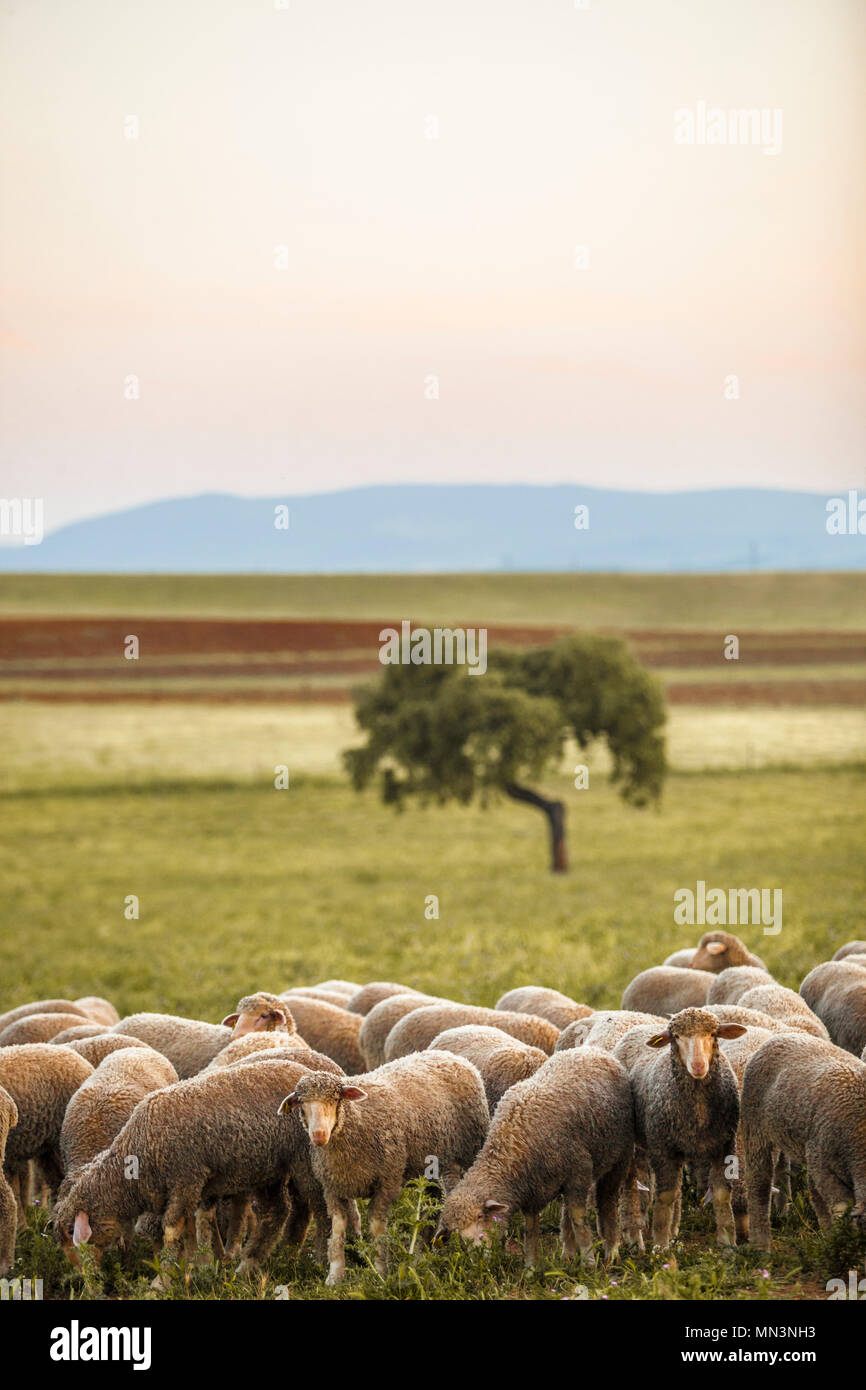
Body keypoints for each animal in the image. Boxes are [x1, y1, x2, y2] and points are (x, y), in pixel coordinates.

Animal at [279, 1052, 488, 1284]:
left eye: (335, 1099)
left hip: (469, 1150)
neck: (357, 1120)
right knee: (432, 1202)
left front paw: (380, 1271)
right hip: (429, 1167)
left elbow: (377, 1227)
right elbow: (338, 1229)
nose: (318, 1135)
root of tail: (450, 1055)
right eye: (302, 1104)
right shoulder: (332, 1188)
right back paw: (421, 1255)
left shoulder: (387, 1182)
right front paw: (335, 1275)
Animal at [436, 1047, 635, 1266]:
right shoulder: (532, 1189)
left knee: (607, 1201)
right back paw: (568, 1254)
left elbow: (579, 1222)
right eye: (457, 1234)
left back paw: (611, 1251)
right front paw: (531, 1266)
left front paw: (589, 1261)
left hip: (620, 1156)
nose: (479, 1259)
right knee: (566, 1213)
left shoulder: (578, 1175)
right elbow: (530, 1231)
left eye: (480, 1216)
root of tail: (592, 1050)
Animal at [613, 1008, 746, 1248]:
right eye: (676, 1037)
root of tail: (640, 1021)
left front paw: (727, 1242)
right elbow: (664, 1196)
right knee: (632, 1185)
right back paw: (635, 1236)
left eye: (713, 1034)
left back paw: (673, 1230)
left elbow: (722, 1194)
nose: (698, 1066)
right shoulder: (663, 1148)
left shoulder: (724, 1145)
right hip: (638, 1142)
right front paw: (660, 1244)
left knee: (675, 1190)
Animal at [741, 1034, 866, 1248]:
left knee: (816, 1197)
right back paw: (761, 1245)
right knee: (759, 1185)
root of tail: (780, 1036)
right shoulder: (825, 1168)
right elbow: (841, 1208)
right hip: (756, 1130)